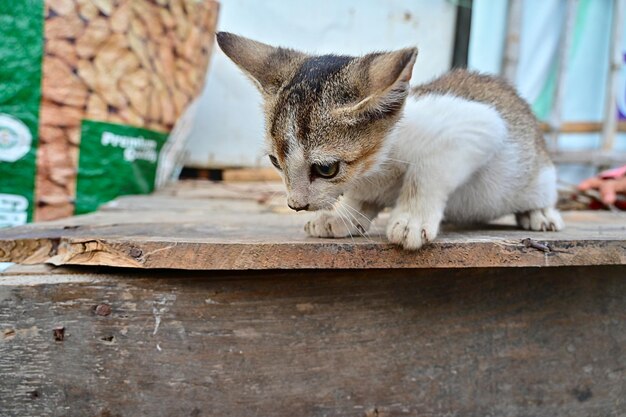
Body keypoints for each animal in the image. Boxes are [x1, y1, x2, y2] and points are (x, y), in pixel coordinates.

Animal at [217, 33, 564, 247]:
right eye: (276, 161)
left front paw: (411, 218)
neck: (377, 165)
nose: (295, 204)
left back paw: (540, 214)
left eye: (326, 169)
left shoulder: (478, 125)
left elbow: (426, 173)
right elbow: (361, 198)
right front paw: (344, 217)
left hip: (537, 175)